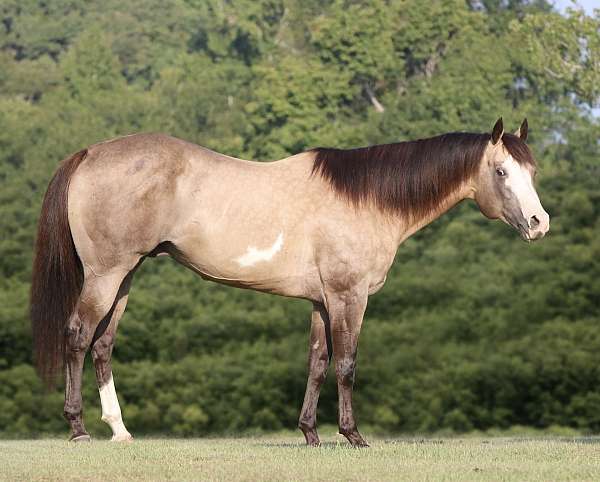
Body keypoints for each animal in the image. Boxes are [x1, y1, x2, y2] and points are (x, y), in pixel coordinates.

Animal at [31, 116, 548, 444]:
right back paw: (78, 429)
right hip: (106, 274)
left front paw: (310, 433)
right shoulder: (348, 297)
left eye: (532, 170)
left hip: (126, 275)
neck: (367, 200)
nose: (539, 223)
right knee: (77, 336)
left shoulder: (321, 302)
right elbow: (347, 364)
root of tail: (90, 153)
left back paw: (119, 430)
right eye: (501, 170)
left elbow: (318, 362)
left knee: (103, 344)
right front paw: (352, 435)